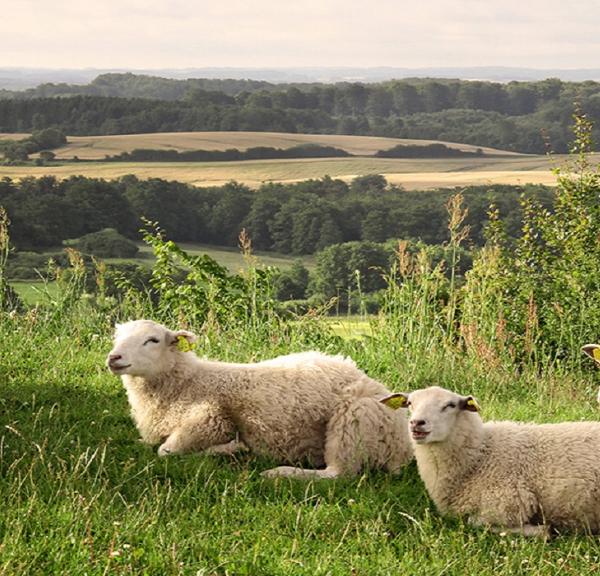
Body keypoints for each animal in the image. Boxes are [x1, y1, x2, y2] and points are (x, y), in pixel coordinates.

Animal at [106, 320, 412, 476]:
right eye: (117, 337)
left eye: (153, 340)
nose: (114, 357)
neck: (188, 381)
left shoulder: (210, 419)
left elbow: (165, 451)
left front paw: (229, 449)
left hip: (352, 422)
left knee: (337, 474)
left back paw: (280, 472)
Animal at [380, 384, 600, 536]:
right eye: (410, 403)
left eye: (450, 405)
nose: (416, 423)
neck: (481, 456)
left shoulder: (507, 504)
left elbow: (475, 523)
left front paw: (542, 531)